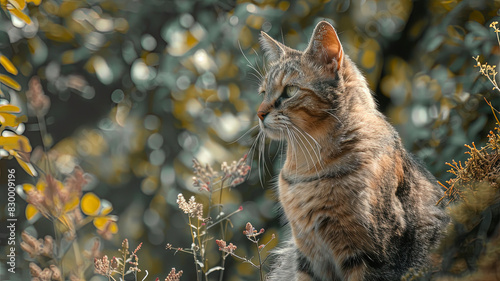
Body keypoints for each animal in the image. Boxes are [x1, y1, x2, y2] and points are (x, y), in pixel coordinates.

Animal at [256, 20, 448, 280]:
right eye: (263, 93)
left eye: (289, 91)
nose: (259, 113)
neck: (307, 166)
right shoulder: (308, 257)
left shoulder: (370, 254)